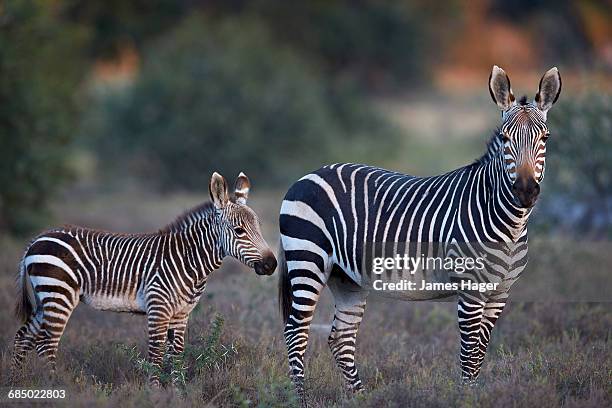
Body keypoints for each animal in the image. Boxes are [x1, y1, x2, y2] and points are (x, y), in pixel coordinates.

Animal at [11, 172, 276, 386]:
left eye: (259, 227)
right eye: (239, 231)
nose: (272, 264)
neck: (188, 259)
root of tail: (36, 240)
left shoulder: (181, 314)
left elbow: (176, 356)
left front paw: (175, 393)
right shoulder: (158, 308)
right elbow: (156, 356)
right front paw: (155, 393)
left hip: (45, 297)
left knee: (23, 337)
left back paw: (16, 383)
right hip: (59, 294)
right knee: (46, 343)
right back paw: (54, 385)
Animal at [280, 65, 560, 400]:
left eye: (545, 137)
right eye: (505, 138)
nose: (526, 192)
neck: (509, 225)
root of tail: (306, 176)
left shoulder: (500, 292)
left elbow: (480, 350)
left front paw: (475, 395)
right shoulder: (470, 289)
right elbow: (469, 352)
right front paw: (466, 399)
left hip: (346, 278)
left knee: (341, 338)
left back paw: (361, 397)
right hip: (307, 260)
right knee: (296, 333)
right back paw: (302, 399)